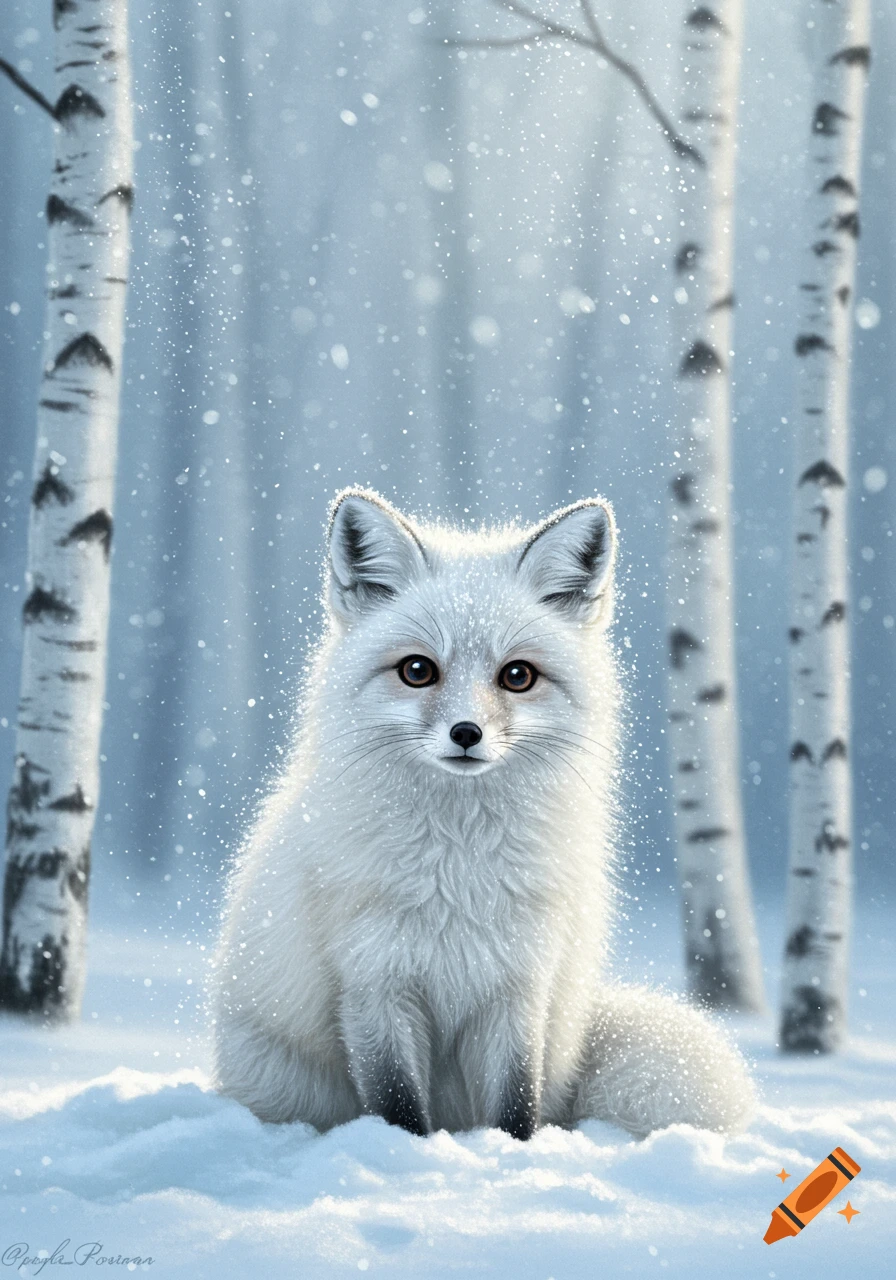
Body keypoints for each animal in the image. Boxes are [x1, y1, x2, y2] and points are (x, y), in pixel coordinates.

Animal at [211, 488, 755, 1139]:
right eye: (417, 670)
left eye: (517, 676)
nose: (466, 733)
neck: (458, 868)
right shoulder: (374, 984)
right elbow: (398, 1105)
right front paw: (409, 1152)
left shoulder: (519, 983)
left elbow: (516, 1103)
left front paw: (509, 1154)